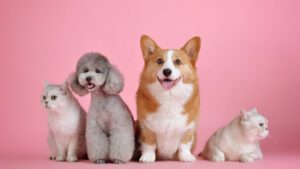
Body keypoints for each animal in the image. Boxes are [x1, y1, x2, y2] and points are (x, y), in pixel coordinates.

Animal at [137, 34, 200, 162]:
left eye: (178, 61)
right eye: (159, 61)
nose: (167, 71)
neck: (169, 96)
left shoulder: (189, 128)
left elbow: (184, 144)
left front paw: (186, 156)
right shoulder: (145, 127)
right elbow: (149, 143)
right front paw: (147, 157)